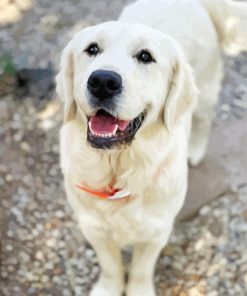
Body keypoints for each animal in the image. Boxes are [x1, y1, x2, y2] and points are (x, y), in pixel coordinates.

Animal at [56, 0, 247, 296]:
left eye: (145, 56)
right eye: (92, 49)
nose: (102, 81)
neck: (120, 166)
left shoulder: (155, 231)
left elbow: (140, 270)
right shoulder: (93, 226)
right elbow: (110, 266)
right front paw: (108, 288)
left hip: (204, 93)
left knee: (203, 121)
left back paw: (196, 150)